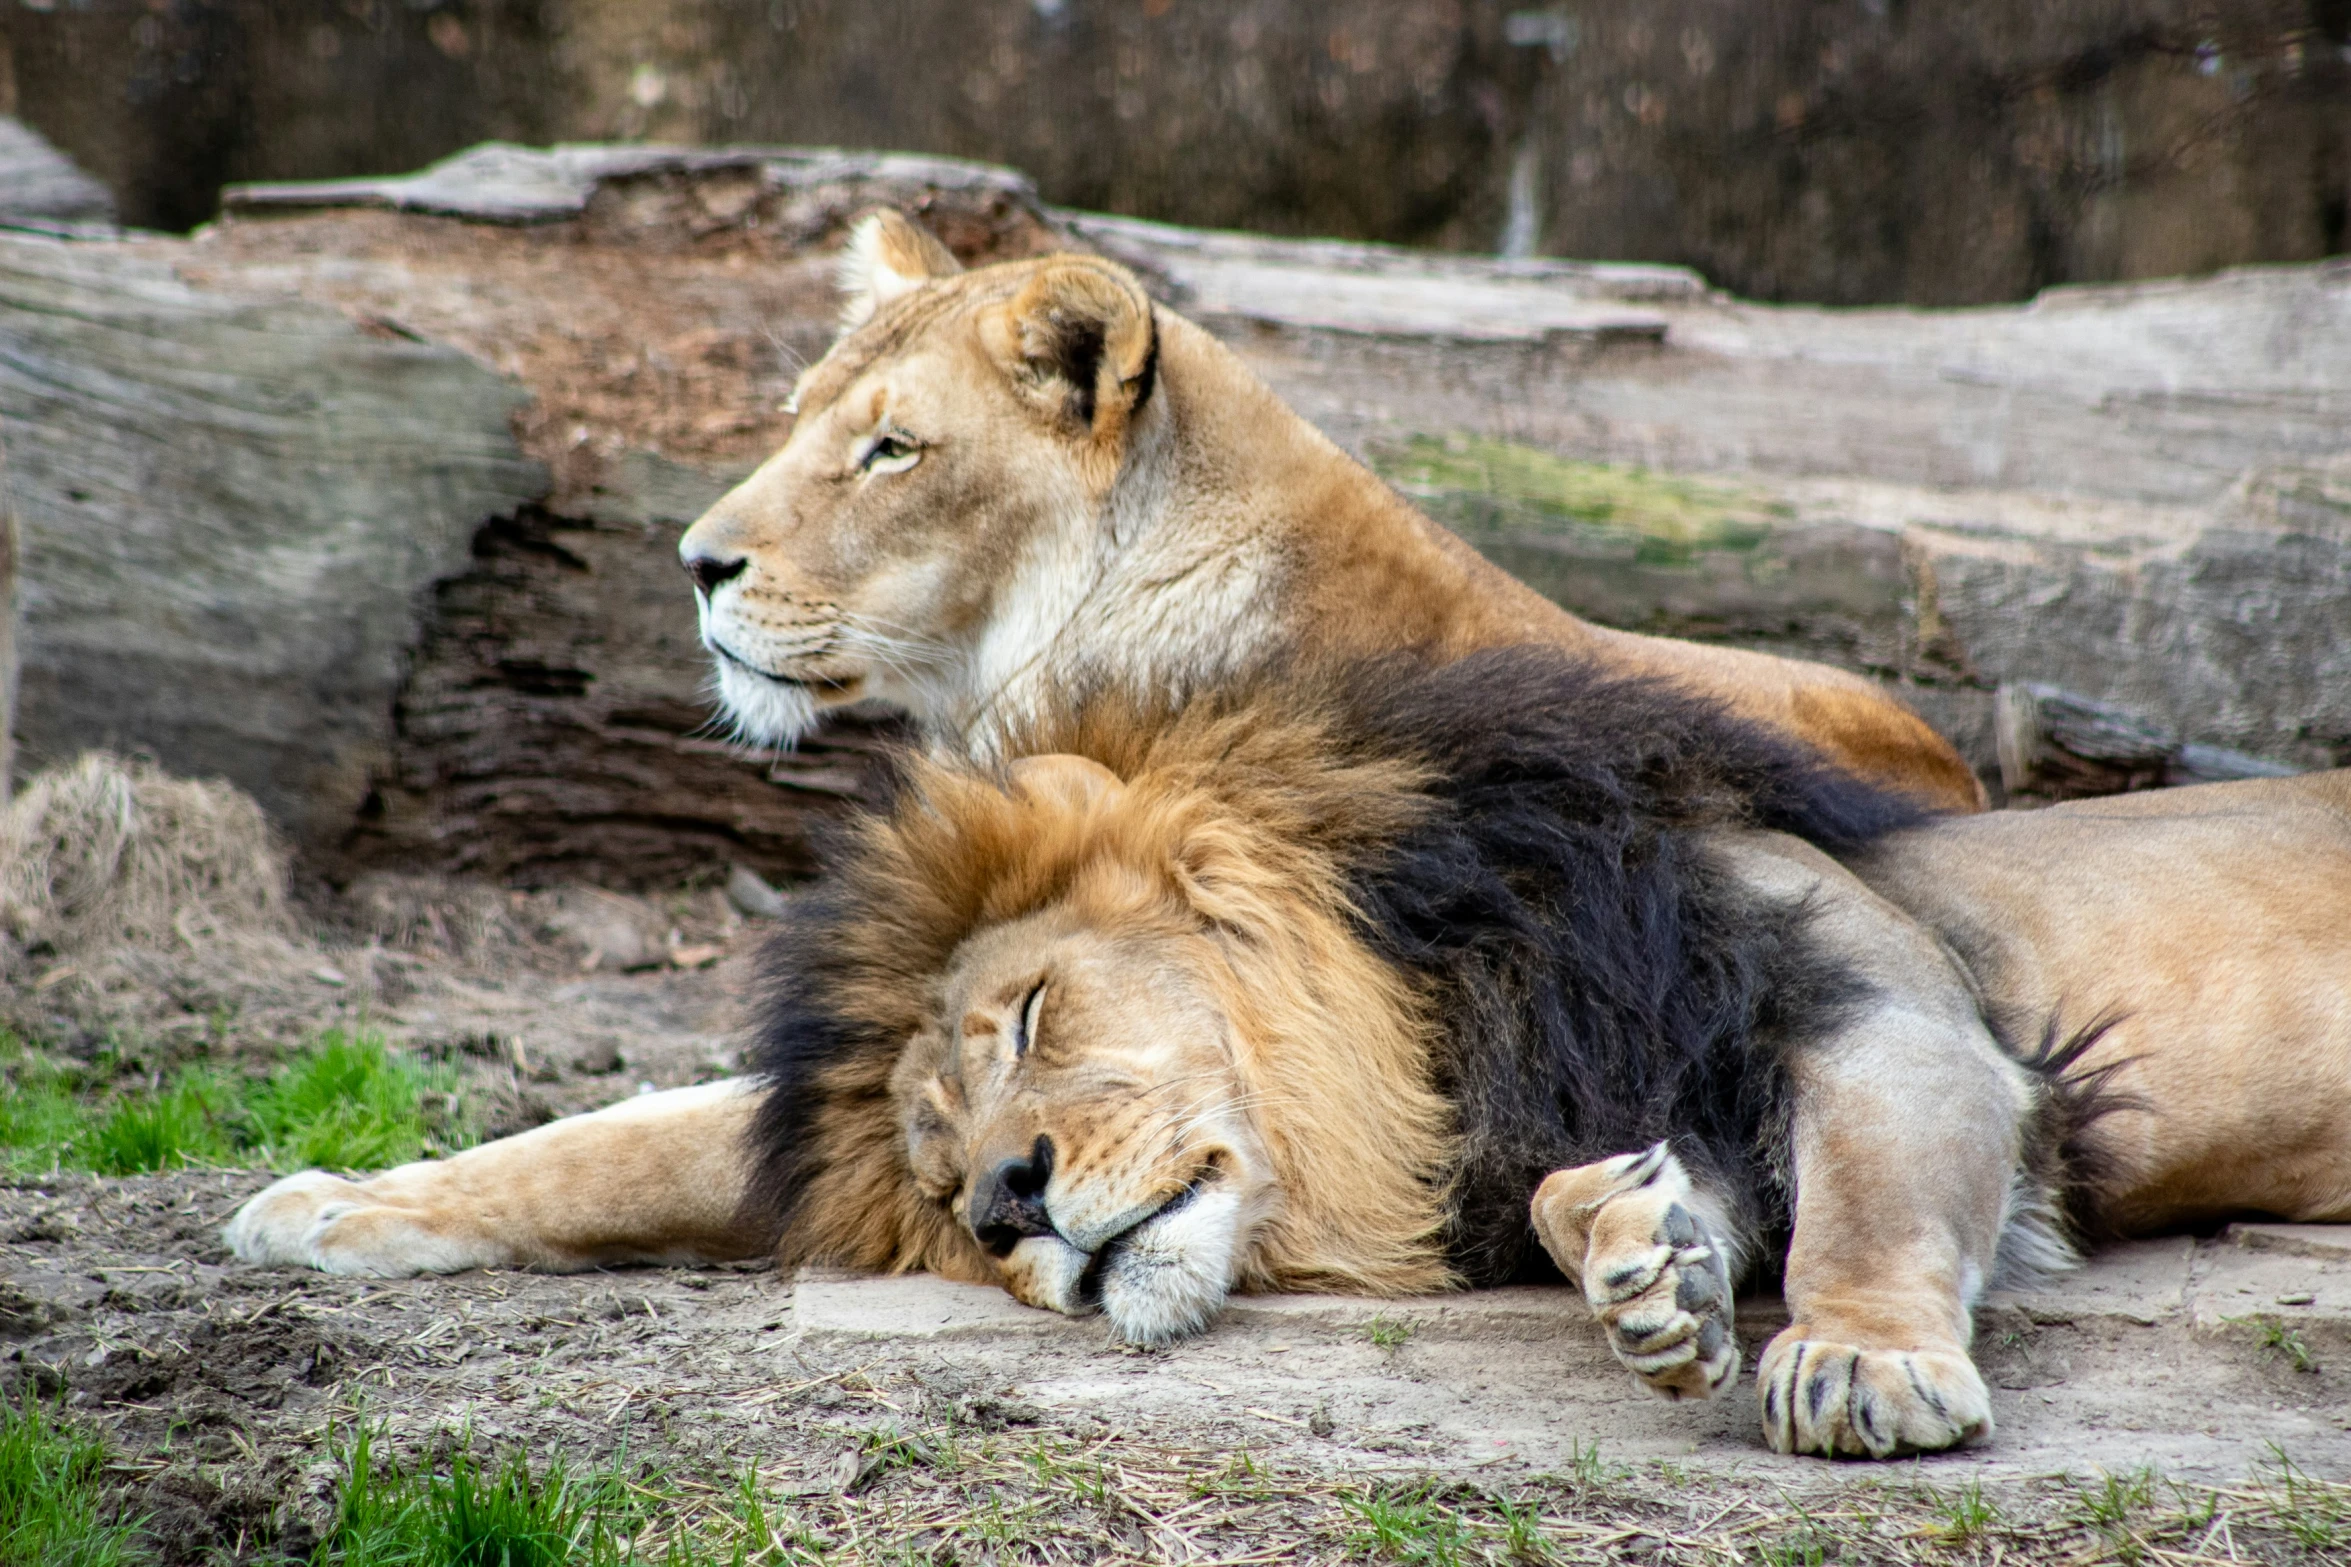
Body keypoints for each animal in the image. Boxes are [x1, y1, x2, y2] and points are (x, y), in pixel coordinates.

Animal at [220, 648, 2351, 1456]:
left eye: (1030, 1015)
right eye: (932, 1166)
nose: (1006, 1205)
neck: (1411, 1044)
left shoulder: (1872, 995)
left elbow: (1880, 1195)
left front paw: (1855, 1358)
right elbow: (627, 1139)